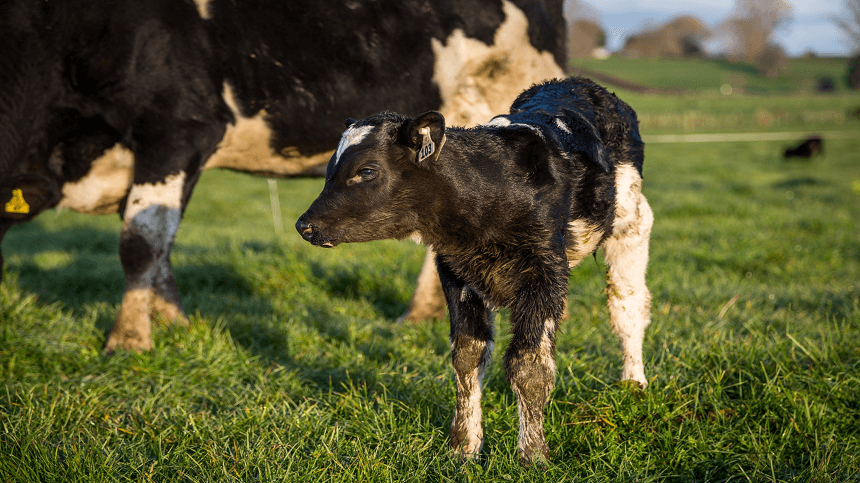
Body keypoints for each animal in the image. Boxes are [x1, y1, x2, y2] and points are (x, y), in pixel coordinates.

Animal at [0, 0, 568, 352]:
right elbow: (158, 245)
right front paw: (173, 319)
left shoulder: (177, 127)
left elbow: (139, 243)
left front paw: (128, 341)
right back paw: (419, 314)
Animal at [296, 78, 652, 466]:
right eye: (329, 171)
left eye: (367, 171)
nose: (304, 225)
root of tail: (577, 84)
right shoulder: (456, 274)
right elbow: (467, 357)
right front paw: (464, 448)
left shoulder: (545, 273)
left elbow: (529, 365)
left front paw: (533, 456)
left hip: (632, 225)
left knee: (628, 307)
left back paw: (634, 385)